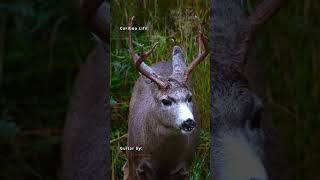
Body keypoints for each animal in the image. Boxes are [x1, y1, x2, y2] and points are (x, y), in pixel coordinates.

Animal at [121, 16, 209, 179]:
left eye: (190, 97)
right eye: (165, 101)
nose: (189, 122)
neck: (163, 158)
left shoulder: (184, 167)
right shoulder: (139, 166)